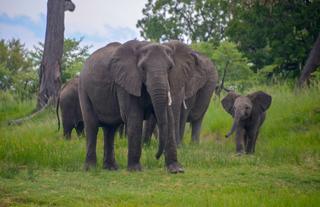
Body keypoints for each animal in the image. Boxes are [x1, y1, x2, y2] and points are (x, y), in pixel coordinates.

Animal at [78, 39, 185, 172]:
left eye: (170, 68)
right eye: (142, 68)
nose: (156, 156)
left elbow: (169, 119)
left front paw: (176, 170)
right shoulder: (124, 83)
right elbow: (134, 117)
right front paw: (136, 170)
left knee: (110, 129)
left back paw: (111, 168)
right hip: (84, 90)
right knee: (92, 126)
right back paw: (90, 169)